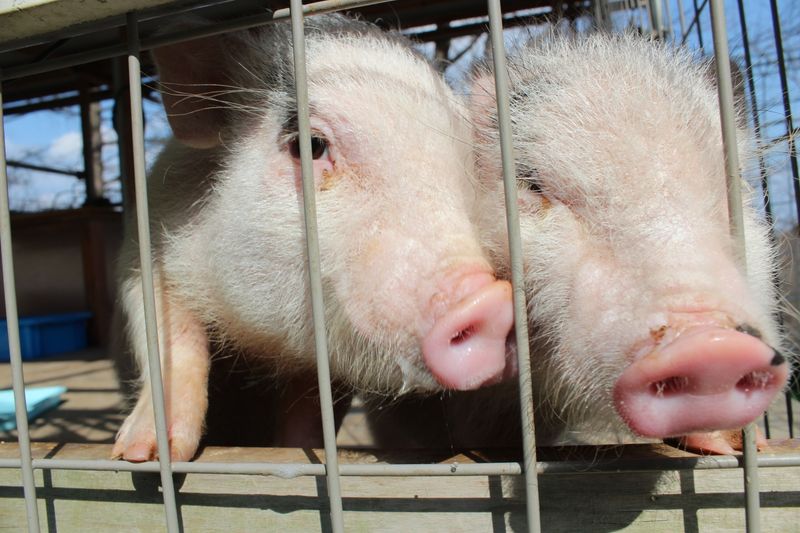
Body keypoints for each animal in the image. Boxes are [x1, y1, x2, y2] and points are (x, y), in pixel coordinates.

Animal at [112, 14, 516, 462]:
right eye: (312, 145)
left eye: (467, 173)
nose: (491, 299)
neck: (261, 343)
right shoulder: (144, 252)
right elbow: (172, 342)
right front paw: (140, 455)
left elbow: (308, 408)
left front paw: (302, 452)